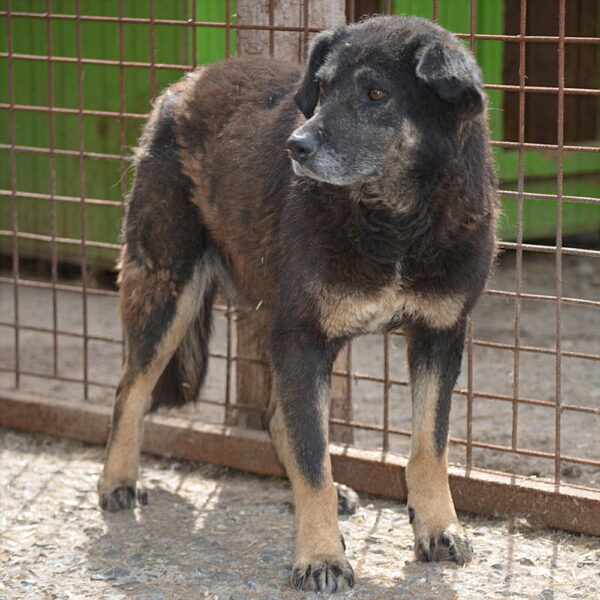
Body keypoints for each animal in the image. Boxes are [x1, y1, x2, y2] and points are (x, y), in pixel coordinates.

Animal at [99, 16, 496, 592]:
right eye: (323, 89)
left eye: (376, 93)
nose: (296, 145)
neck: (394, 222)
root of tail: (182, 87)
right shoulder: (302, 339)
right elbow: (312, 462)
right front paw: (321, 556)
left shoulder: (439, 335)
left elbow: (430, 446)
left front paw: (439, 528)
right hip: (167, 290)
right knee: (129, 391)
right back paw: (118, 481)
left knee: (276, 418)